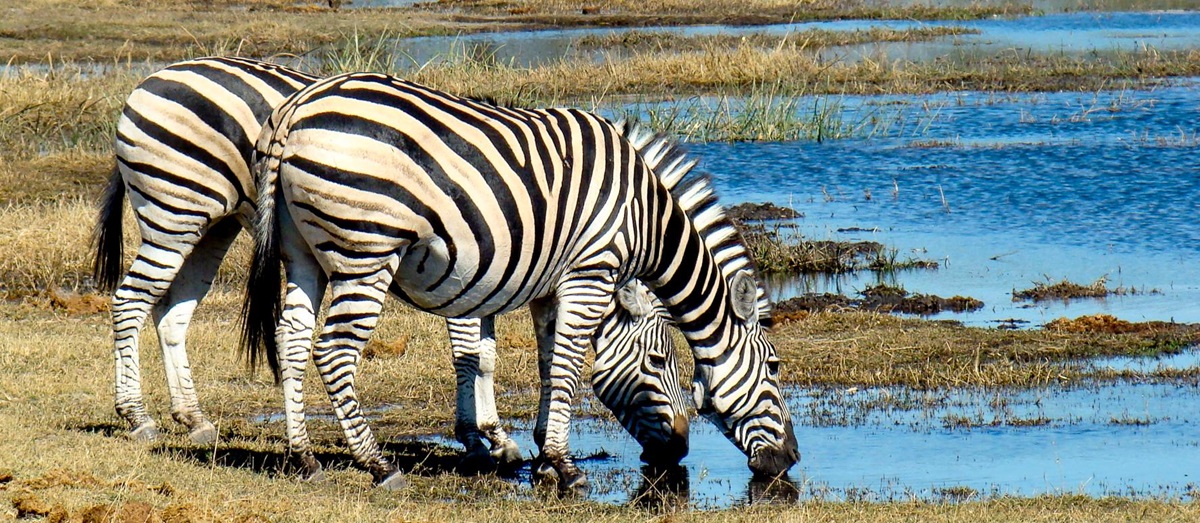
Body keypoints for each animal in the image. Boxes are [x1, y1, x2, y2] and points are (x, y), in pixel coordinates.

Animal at [91, 57, 689, 475]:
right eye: (660, 360)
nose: (681, 448)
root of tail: (154, 77)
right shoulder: (474, 268)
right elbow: (474, 356)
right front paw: (484, 439)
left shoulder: (499, 270)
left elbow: (486, 354)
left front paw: (495, 438)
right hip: (176, 208)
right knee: (132, 301)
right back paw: (139, 418)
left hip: (211, 224)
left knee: (172, 311)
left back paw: (194, 420)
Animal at [242, 71, 800, 490]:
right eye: (773, 367)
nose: (791, 459)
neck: (647, 218)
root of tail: (297, 107)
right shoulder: (589, 273)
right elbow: (568, 368)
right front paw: (564, 467)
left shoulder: (551, 287)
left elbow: (548, 365)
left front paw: (543, 456)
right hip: (367, 249)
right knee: (333, 351)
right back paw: (379, 465)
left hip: (302, 251)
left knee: (291, 340)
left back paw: (304, 458)